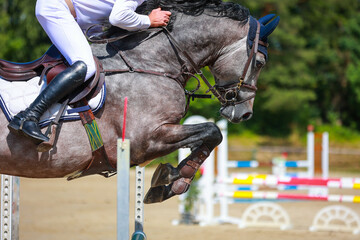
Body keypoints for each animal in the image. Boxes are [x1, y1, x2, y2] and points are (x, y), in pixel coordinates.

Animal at [0, 0, 278, 203]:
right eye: (260, 62)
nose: (244, 114)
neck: (150, 62)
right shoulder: (145, 139)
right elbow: (212, 132)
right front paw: (174, 179)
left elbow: (209, 137)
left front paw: (169, 182)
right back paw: (28, 125)